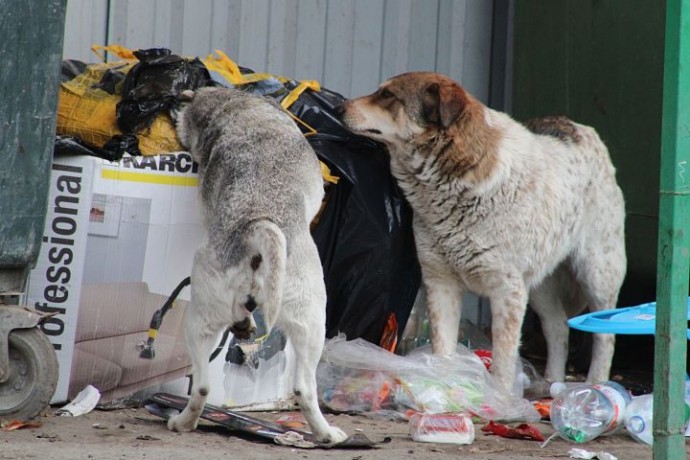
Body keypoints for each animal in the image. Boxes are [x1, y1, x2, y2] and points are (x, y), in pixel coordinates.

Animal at [338, 73, 624, 394]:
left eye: (388, 96)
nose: (338, 108)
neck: (455, 178)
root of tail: (581, 128)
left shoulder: (507, 292)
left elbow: (503, 361)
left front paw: (500, 397)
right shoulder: (441, 283)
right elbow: (443, 348)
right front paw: (445, 389)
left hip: (597, 274)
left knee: (605, 334)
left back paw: (597, 384)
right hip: (539, 286)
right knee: (558, 327)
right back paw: (552, 382)